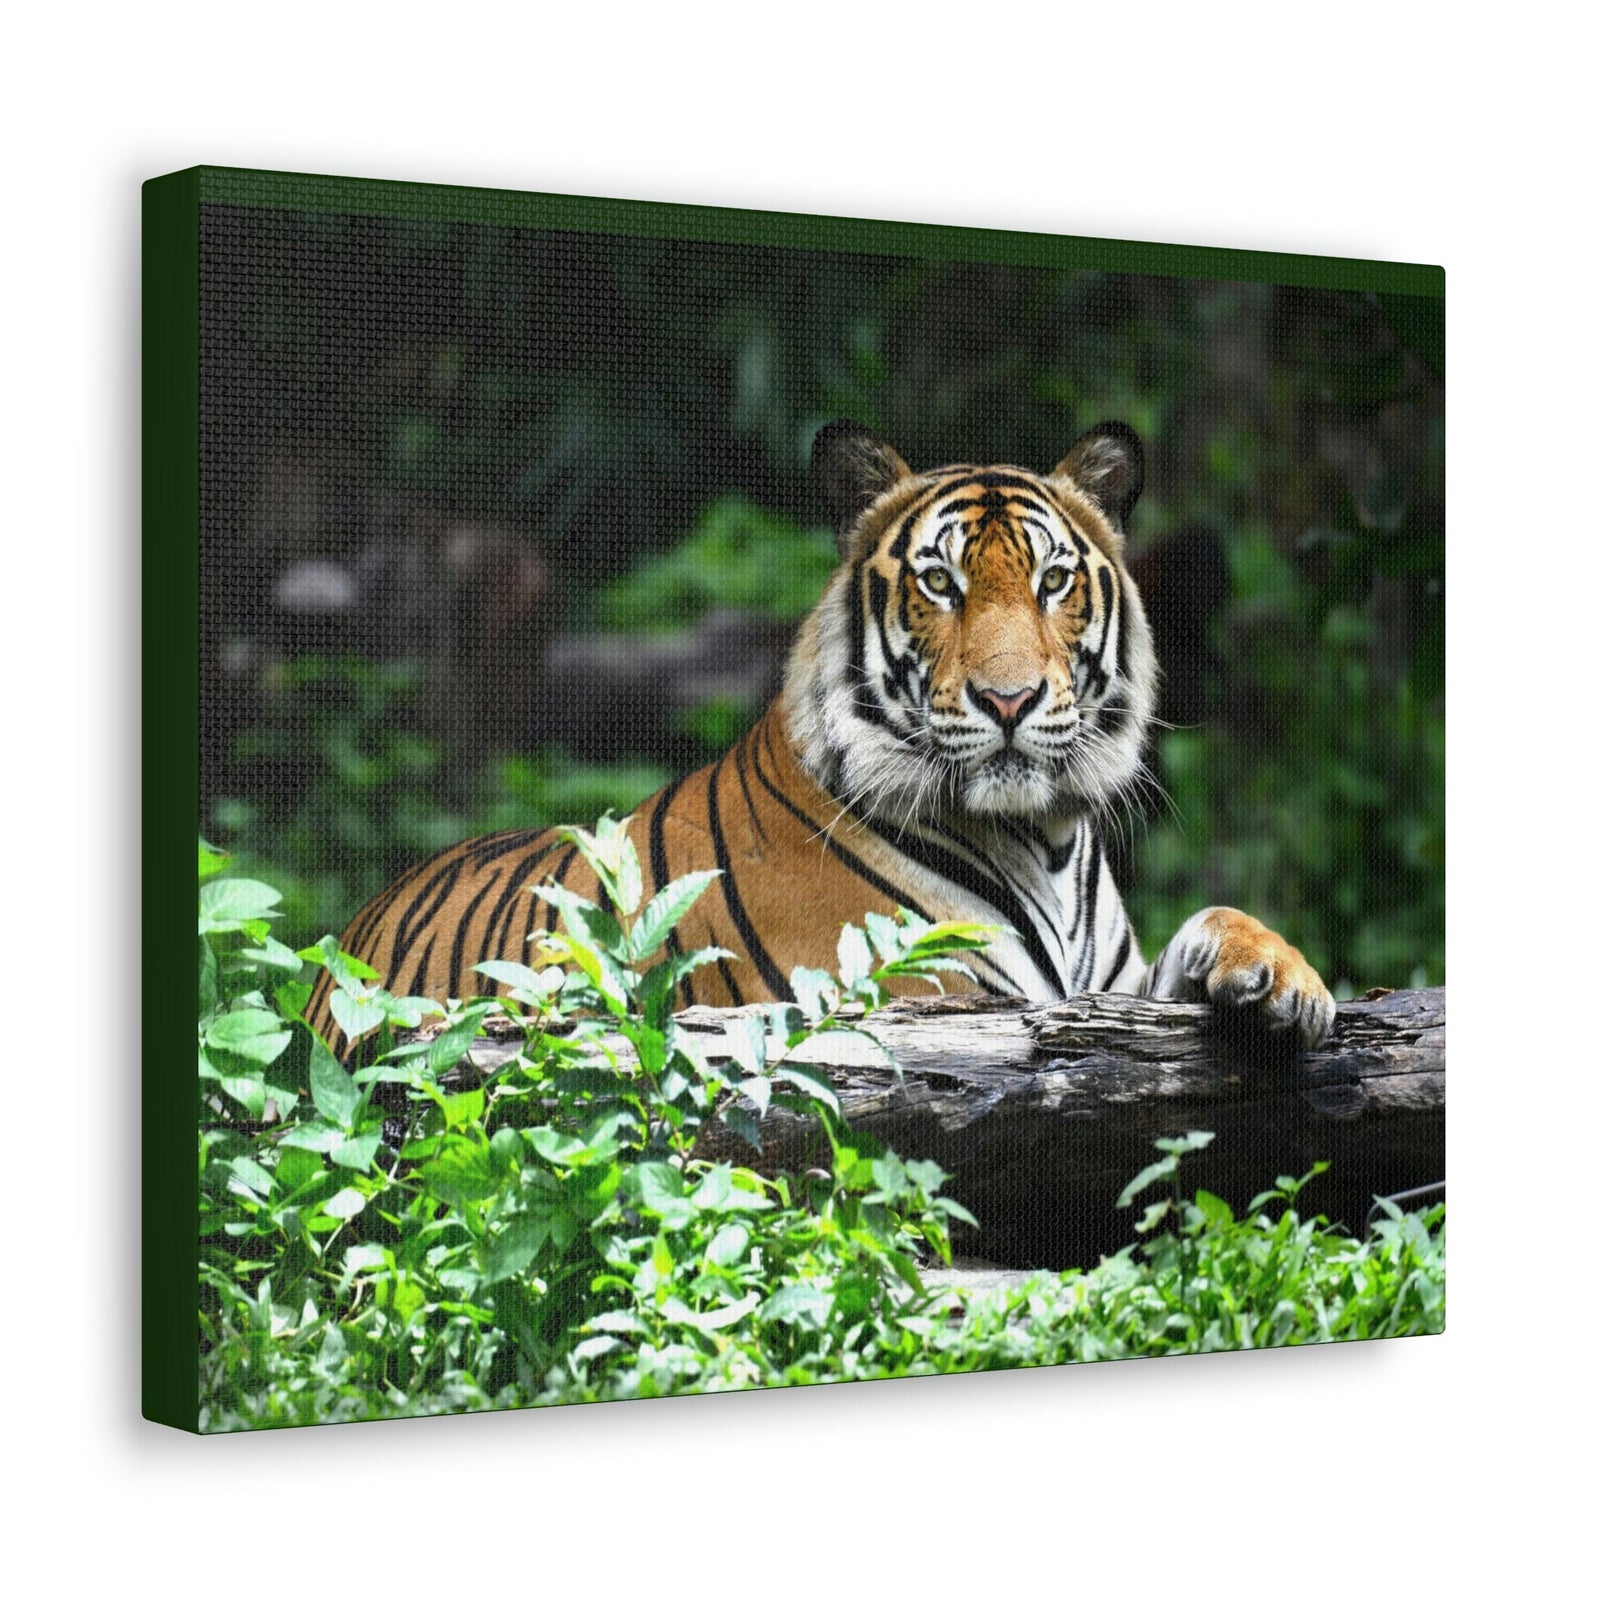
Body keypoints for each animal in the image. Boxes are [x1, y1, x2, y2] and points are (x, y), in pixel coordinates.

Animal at [307, 420, 1335, 1054]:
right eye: (940, 584)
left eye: (1052, 582)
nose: (1008, 701)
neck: (1043, 840)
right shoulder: (918, 998)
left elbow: (1212, 921)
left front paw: (1286, 981)